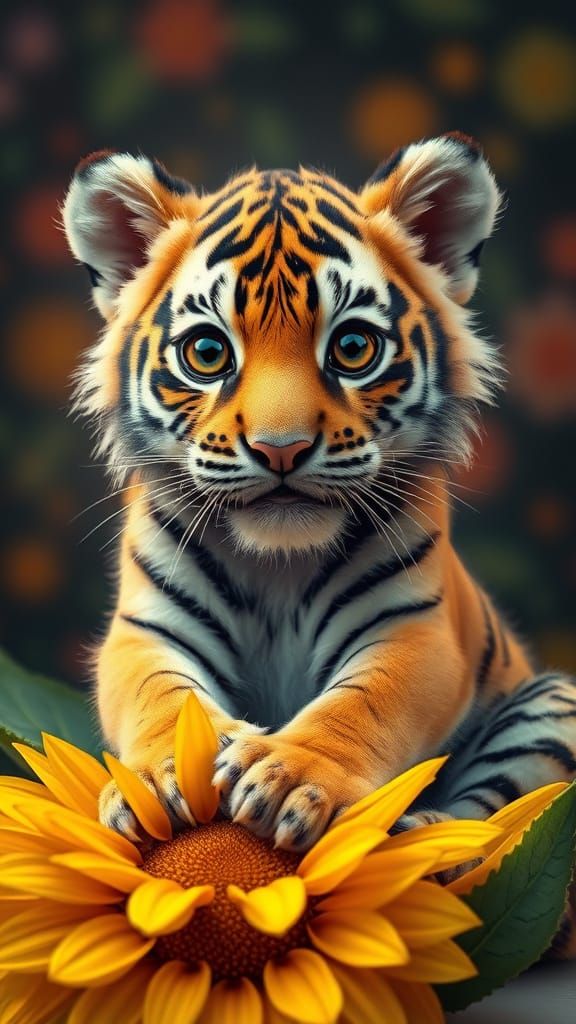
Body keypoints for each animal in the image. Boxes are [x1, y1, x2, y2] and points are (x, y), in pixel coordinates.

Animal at [62, 134, 576, 945]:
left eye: (354, 347)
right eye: (207, 353)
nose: (282, 449)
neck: (279, 562)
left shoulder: (415, 632)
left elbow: (361, 703)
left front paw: (285, 781)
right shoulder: (146, 630)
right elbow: (162, 699)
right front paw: (166, 779)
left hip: (552, 703)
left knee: (493, 816)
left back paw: (429, 847)